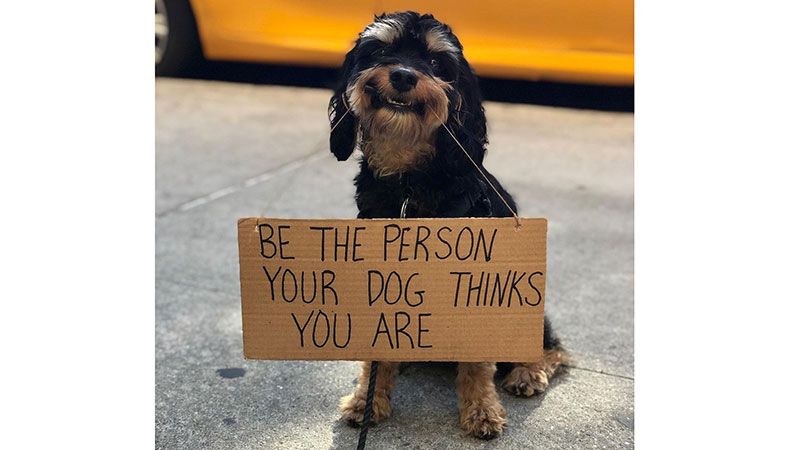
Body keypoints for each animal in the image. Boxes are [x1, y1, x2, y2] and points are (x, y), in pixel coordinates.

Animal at [328, 11, 564, 440]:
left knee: (553, 345)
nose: (403, 75)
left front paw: (482, 411)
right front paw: (367, 400)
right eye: (381, 51)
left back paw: (528, 371)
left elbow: (478, 364)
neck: (409, 182)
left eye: (437, 63)